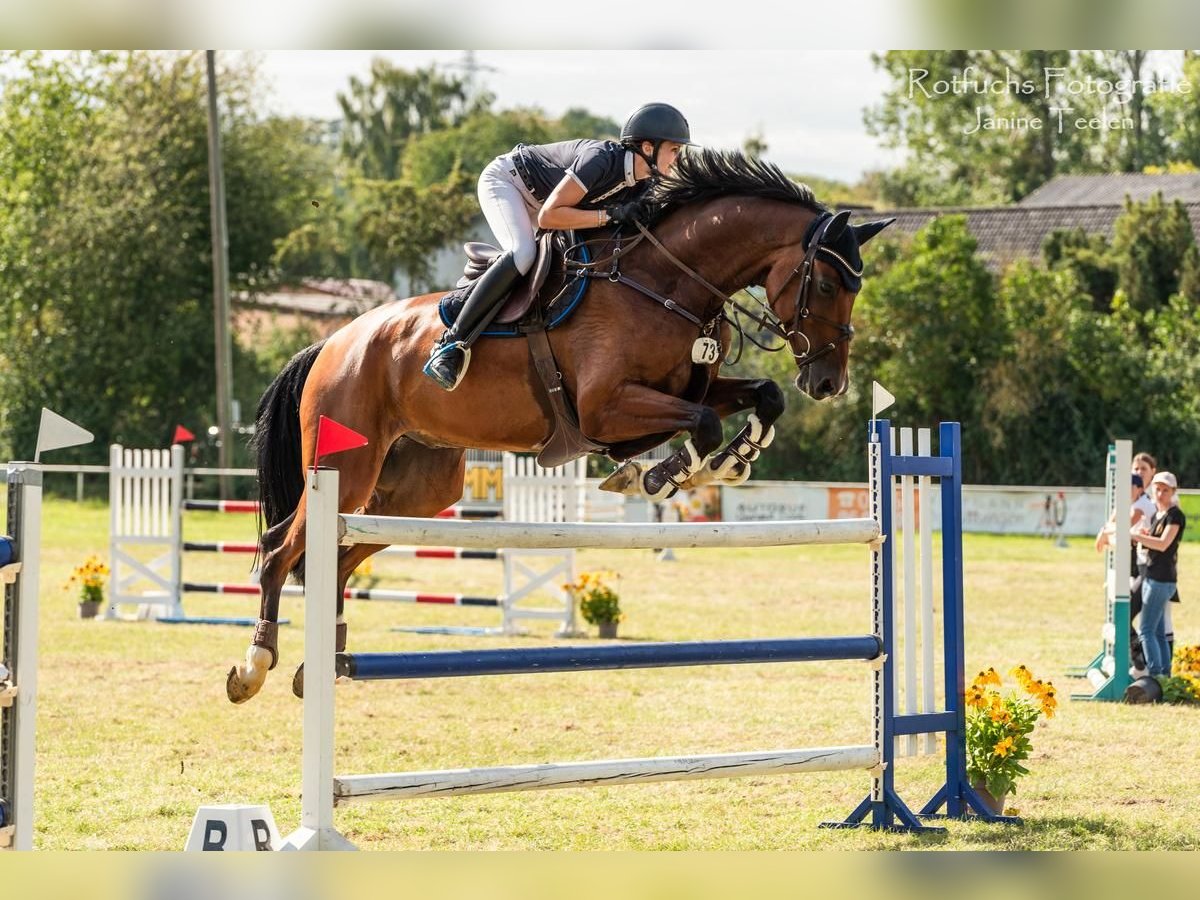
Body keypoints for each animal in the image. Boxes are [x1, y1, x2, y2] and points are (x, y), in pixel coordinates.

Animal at [229, 150, 897, 705]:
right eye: (829, 283)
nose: (830, 383)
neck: (665, 281)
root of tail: (333, 342)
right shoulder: (608, 407)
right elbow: (700, 425)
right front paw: (659, 474)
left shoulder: (688, 387)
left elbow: (762, 396)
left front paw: (737, 455)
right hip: (346, 465)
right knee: (281, 550)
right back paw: (255, 665)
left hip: (416, 487)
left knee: (336, 559)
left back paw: (317, 666)